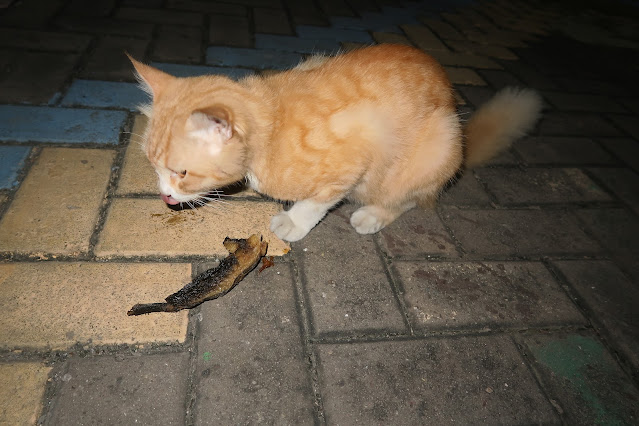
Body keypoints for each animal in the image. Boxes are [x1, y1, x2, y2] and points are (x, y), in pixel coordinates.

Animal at [129, 44, 542, 242]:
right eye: (153, 166)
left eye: (182, 172)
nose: (165, 196)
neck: (271, 120)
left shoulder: (352, 161)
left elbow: (317, 201)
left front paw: (295, 221)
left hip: (436, 147)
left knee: (410, 198)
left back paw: (374, 214)